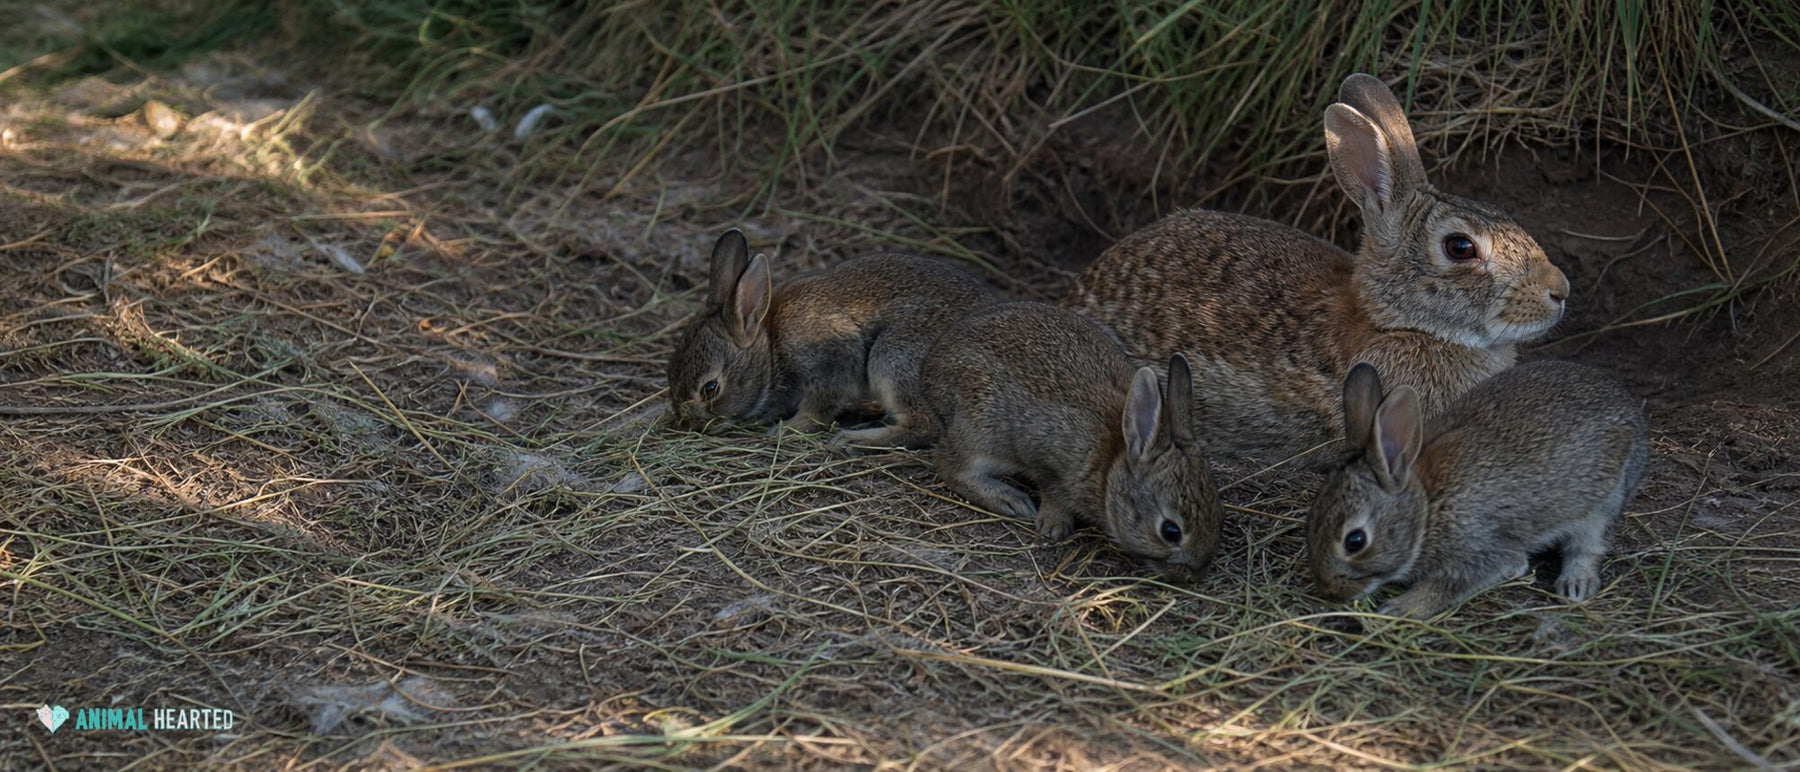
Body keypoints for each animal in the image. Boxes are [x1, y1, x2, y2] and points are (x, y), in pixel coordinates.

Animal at [666, 228, 996, 450]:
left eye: (710, 388)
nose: (691, 425)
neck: (771, 350)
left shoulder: (831, 363)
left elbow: (819, 409)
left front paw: (786, 430)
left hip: (894, 354)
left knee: (924, 426)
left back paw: (851, 438)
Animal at [922, 301, 1223, 580]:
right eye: (1171, 531)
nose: (1197, 574)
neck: (1111, 463)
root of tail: (932, 365)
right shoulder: (1046, 457)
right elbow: (1052, 492)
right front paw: (1054, 526)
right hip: (978, 430)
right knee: (949, 465)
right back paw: (1009, 500)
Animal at [1306, 359, 1650, 619]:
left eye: (1355, 541)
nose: (1329, 590)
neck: (1428, 509)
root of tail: (1627, 404)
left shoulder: (1480, 545)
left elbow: (1445, 588)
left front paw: (1400, 608)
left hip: (1605, 500)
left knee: (1589, 545)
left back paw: (1575, 585)